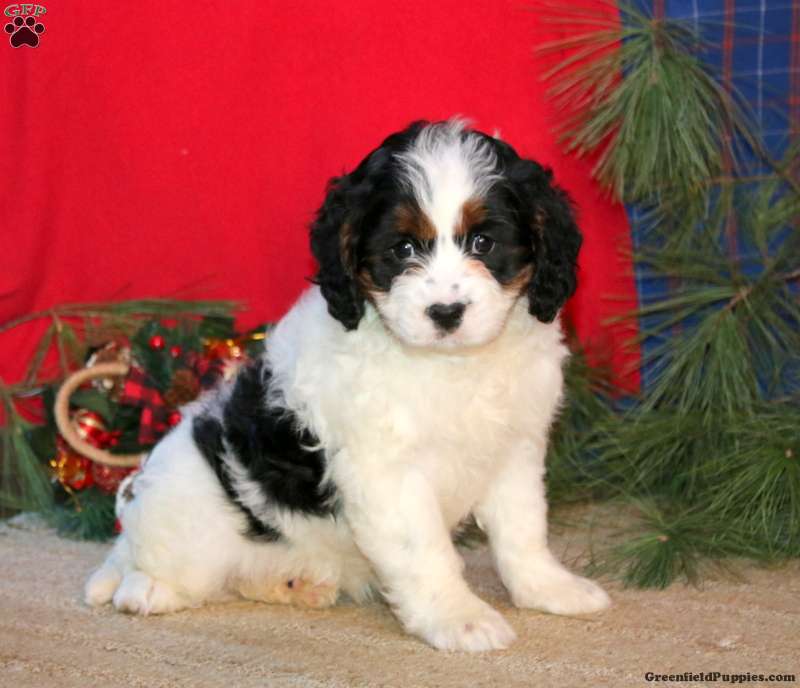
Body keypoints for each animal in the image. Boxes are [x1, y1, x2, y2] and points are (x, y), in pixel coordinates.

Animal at [85, 119, 610, 651]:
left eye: (483, 243)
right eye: (403, 249)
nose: (445, 312)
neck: (449, 363)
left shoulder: (514, 447)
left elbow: (523, 527)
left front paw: (548, 588)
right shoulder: (386, 471)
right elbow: (424, 550)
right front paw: (459, 618)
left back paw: (295, 584)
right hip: (187, 514)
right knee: (156, 564)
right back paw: (147, 587)